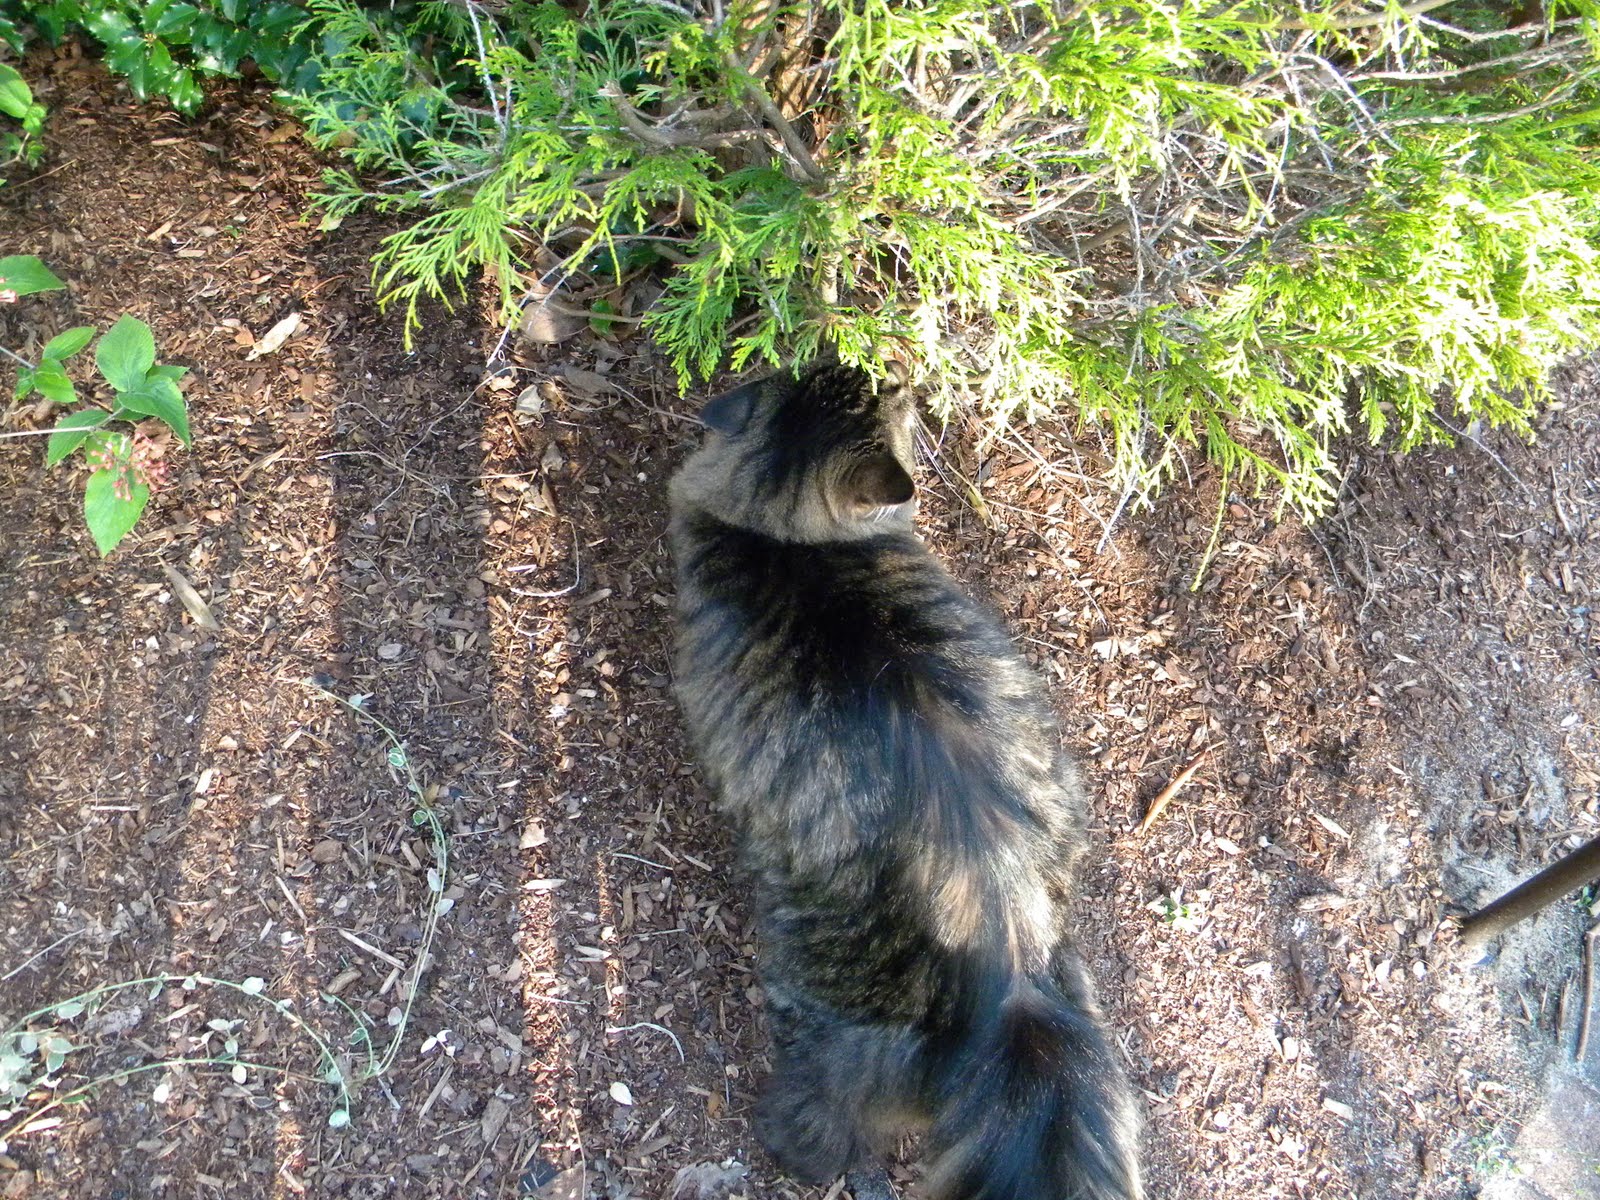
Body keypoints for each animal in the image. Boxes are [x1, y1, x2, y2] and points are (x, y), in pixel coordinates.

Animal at [667, 360, 1142, 1200]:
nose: (903, 374)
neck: (784, 536)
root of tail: (1010, 971)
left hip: (824, 1015)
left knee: (824, 1118)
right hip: (1073, 947)